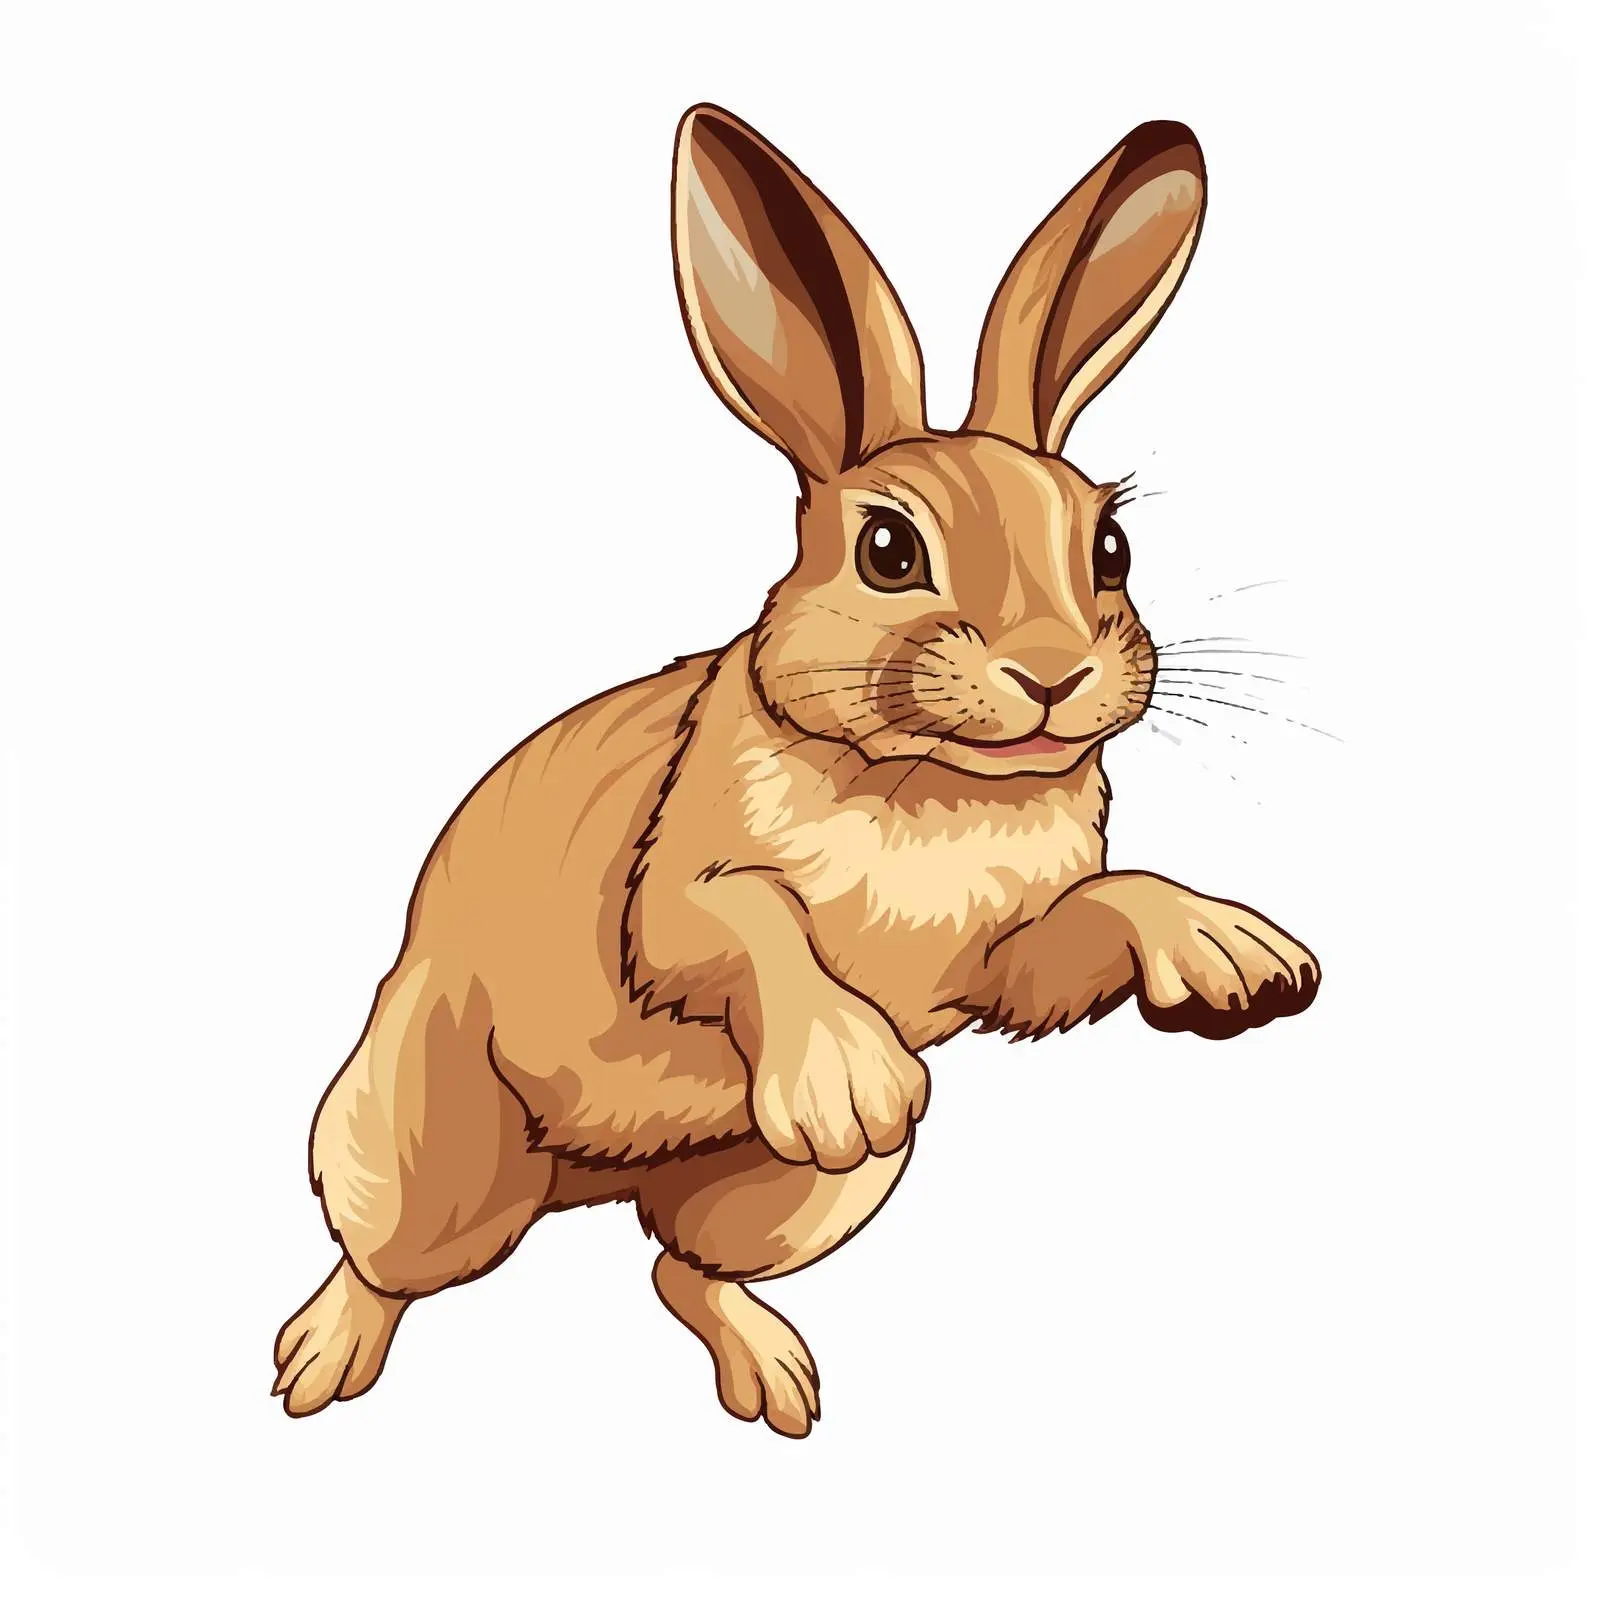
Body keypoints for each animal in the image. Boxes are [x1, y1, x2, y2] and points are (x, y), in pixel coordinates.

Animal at [272, 104, 1320, 1437]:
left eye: (1112, 546)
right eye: (886, 549)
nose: (1052, 672)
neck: (928, 786)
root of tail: (578, 1184)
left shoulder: (1001, 962)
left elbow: (1097, 910)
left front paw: (1241, 957)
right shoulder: (671, 897)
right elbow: (743, 922)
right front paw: (845, 1080)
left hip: (794, 1200)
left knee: (680, 1266)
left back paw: (778, 1383)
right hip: (429, 1147)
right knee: (392, 1262)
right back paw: (314, 1366)